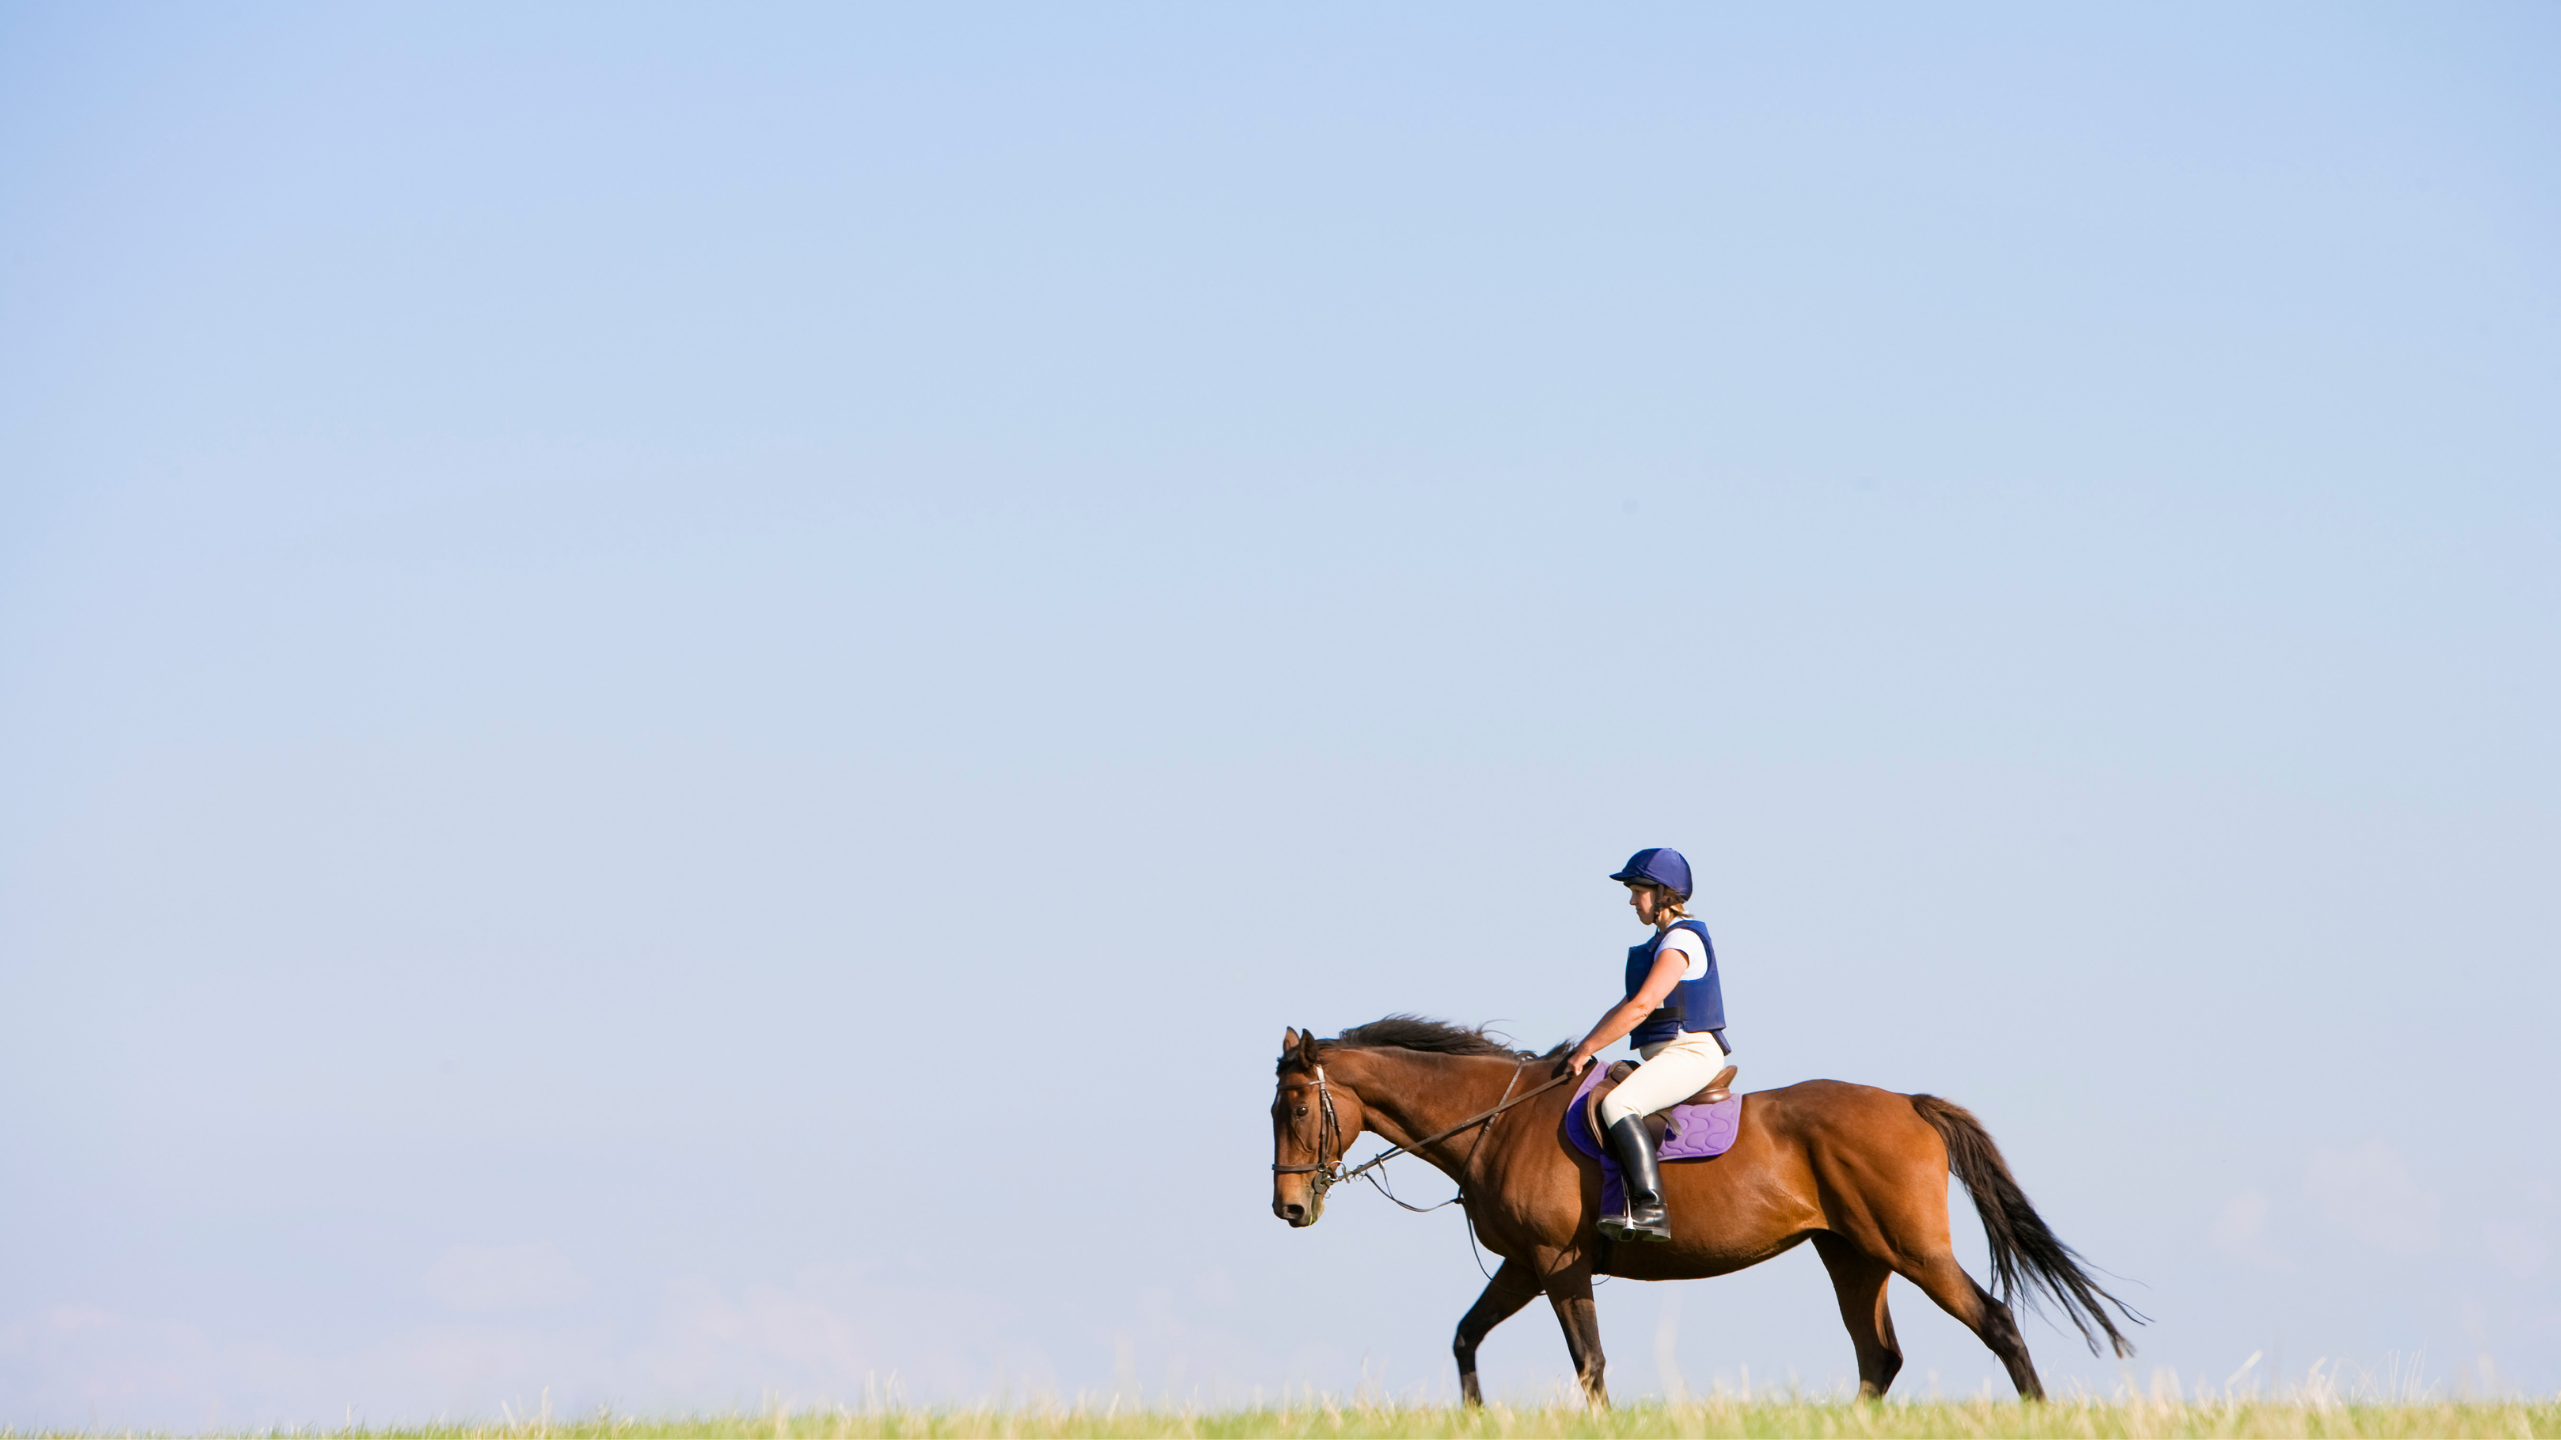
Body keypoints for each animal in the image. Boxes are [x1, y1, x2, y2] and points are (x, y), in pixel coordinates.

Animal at [1269, 1016, 2139, 1407]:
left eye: (1297, 1109)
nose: (1287, 1208)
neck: (1497, 1120)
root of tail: (1907, 1104)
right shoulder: (1523, 1265)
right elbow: (1464, 1337)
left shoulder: (1558, 1264)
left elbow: (1589, 1362)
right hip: (1852, 1255)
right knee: (1878, 1357)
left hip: (1909, 1248)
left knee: (1993, 1321)